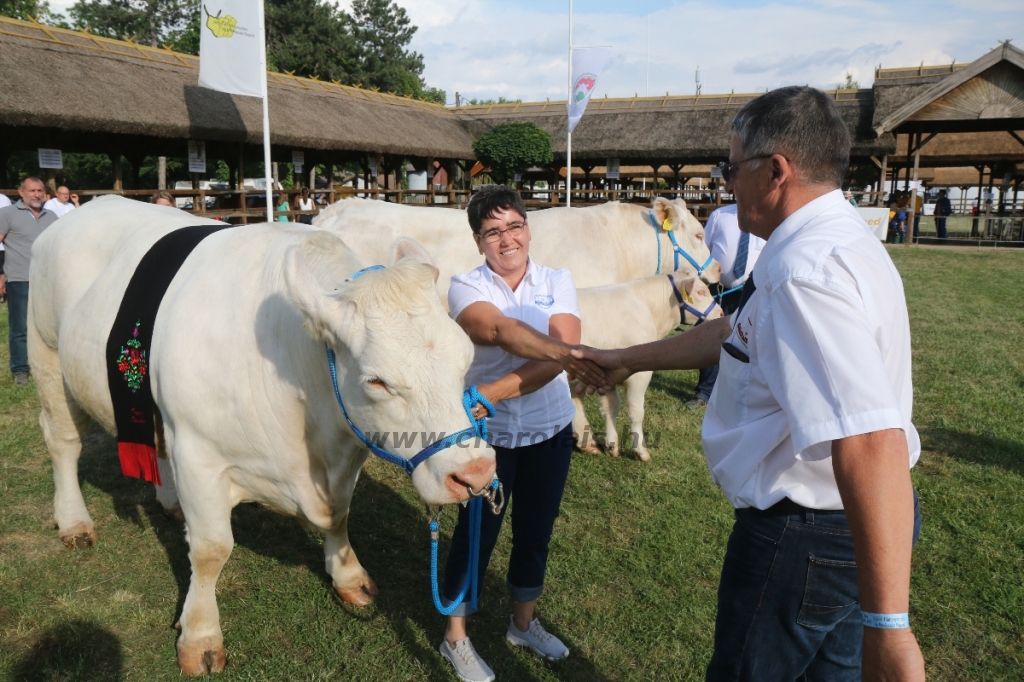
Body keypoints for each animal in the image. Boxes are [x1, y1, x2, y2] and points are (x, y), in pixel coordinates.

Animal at [28, 196, 495, 675]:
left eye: (467, 356)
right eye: (377, 381)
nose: (475, 473)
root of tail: (94, 204)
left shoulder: (344, 457)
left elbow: (340, 516)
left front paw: (350, 576)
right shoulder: (197, 451)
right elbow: (211, 549)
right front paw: (200, 635)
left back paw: (171, 503)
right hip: (47, 353)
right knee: (63, 441)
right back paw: (74, 521)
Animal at [573, 274, 724, 458]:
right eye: (701, 292)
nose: (721, 313)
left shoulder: (608, 368)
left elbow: (611, 407)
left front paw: (611, 446)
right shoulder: (639, 374)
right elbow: (636, 412)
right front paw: (640, 450)